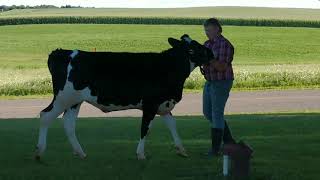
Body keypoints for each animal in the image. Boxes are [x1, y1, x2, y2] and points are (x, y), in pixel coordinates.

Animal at [35, 34, 215, 160]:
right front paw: (141, 154)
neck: (169, 68)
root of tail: (61, 52)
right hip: (63, 98)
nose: (211, 52)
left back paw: (80, 153)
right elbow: (145, 128)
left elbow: (172, 125)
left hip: (74, 101)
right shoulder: (150, 104)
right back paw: (39, 152)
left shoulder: (164, 104)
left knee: (68, 123)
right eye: (191, 49)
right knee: (45, 116)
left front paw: (181, 149)